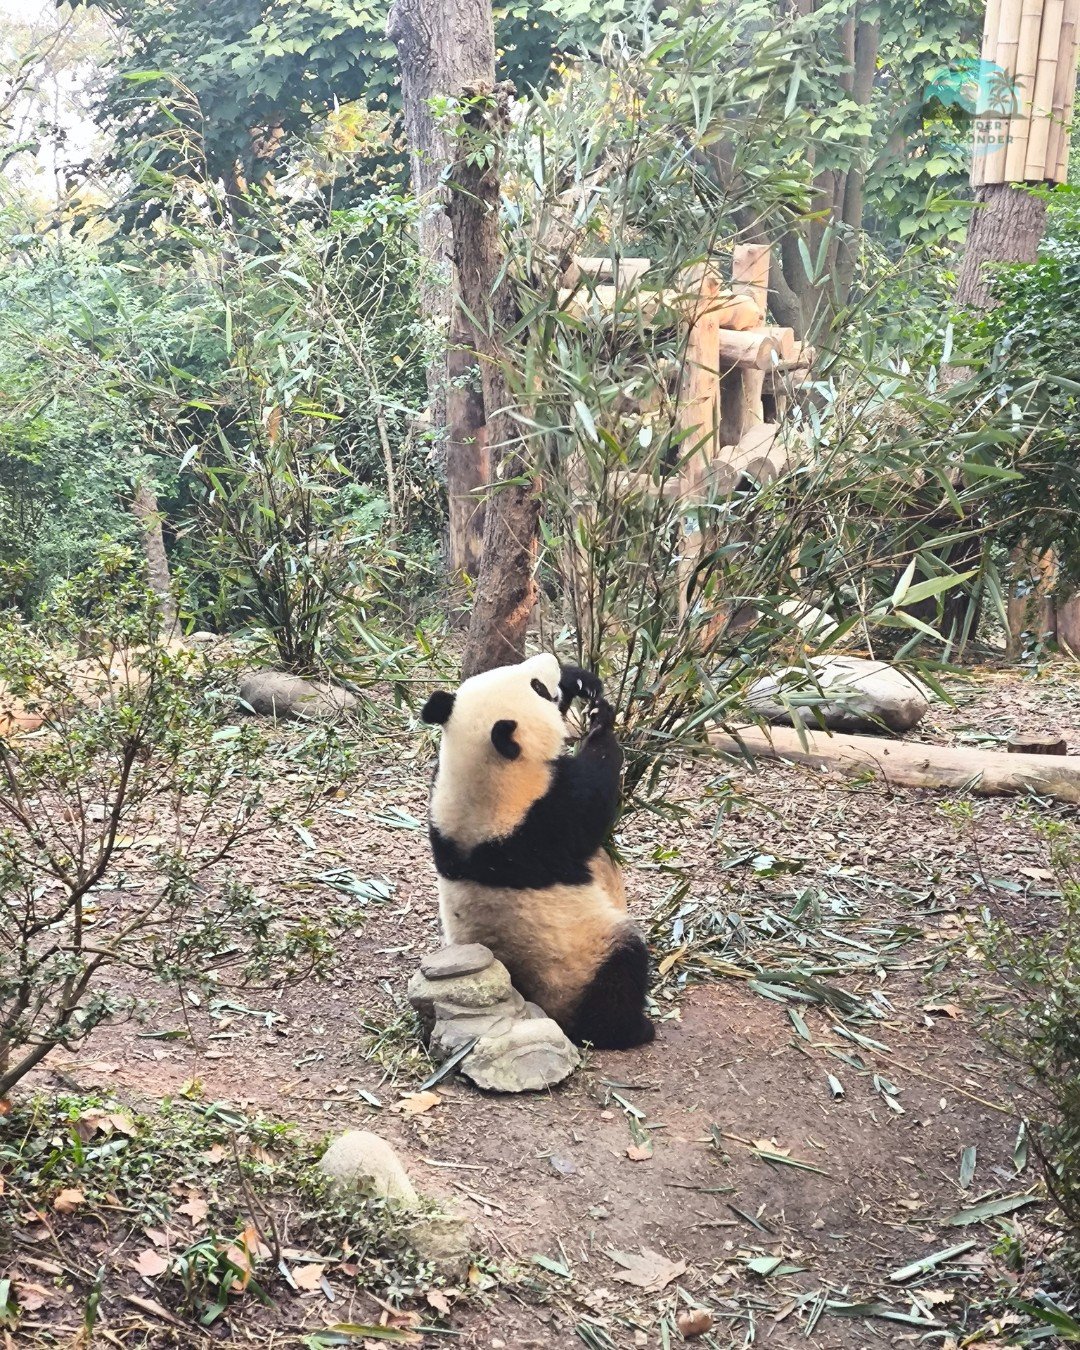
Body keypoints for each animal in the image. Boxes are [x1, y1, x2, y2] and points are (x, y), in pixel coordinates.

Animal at [420, 653, 655, 1051]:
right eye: (538, 688)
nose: (550, 660)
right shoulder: (543, 821)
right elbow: (596, 799)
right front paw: (601, 725)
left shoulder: (441, 816)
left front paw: (581, 681)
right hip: (583, 958)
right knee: (621, 970)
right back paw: (631, 1029)